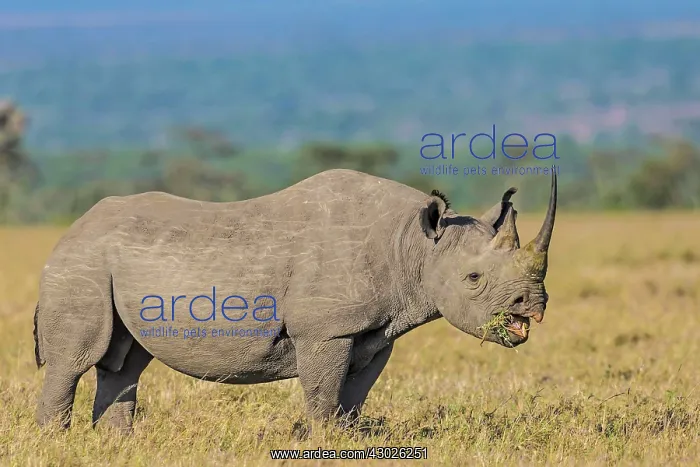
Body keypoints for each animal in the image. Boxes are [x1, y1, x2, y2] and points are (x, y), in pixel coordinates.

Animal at [33, 168, 556, 432]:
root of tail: (73, 227)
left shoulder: (375, 332)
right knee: (77, 358)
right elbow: (324, 393)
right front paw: (326, 443)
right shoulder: (326, 328)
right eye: (473, 278)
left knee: (125, 361)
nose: (532, 306)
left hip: (107, 261)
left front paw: (347, 440)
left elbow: (353, 395)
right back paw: (56, 441)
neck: (413, 244)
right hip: (83, 259)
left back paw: (116, 444)